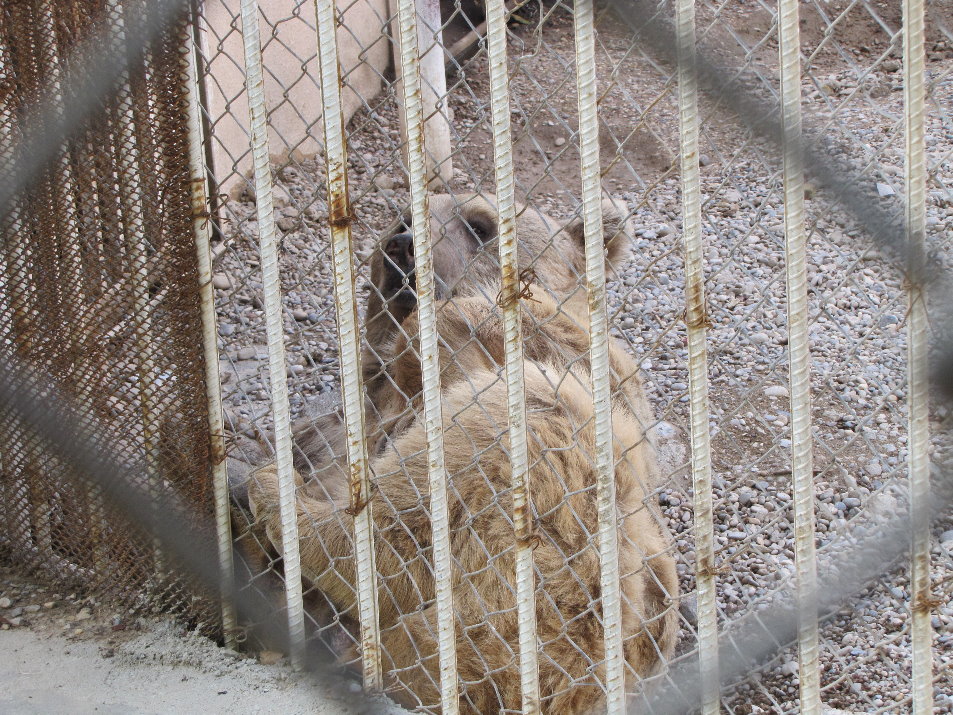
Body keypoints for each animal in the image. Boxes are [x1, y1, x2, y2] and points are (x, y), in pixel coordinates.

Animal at [246, 193, 679, 712]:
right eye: (403, 216)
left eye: (479, 225)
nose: (401, 245)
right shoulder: (349, 416)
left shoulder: (570, 358)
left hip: (569, 601)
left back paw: (277, 498)